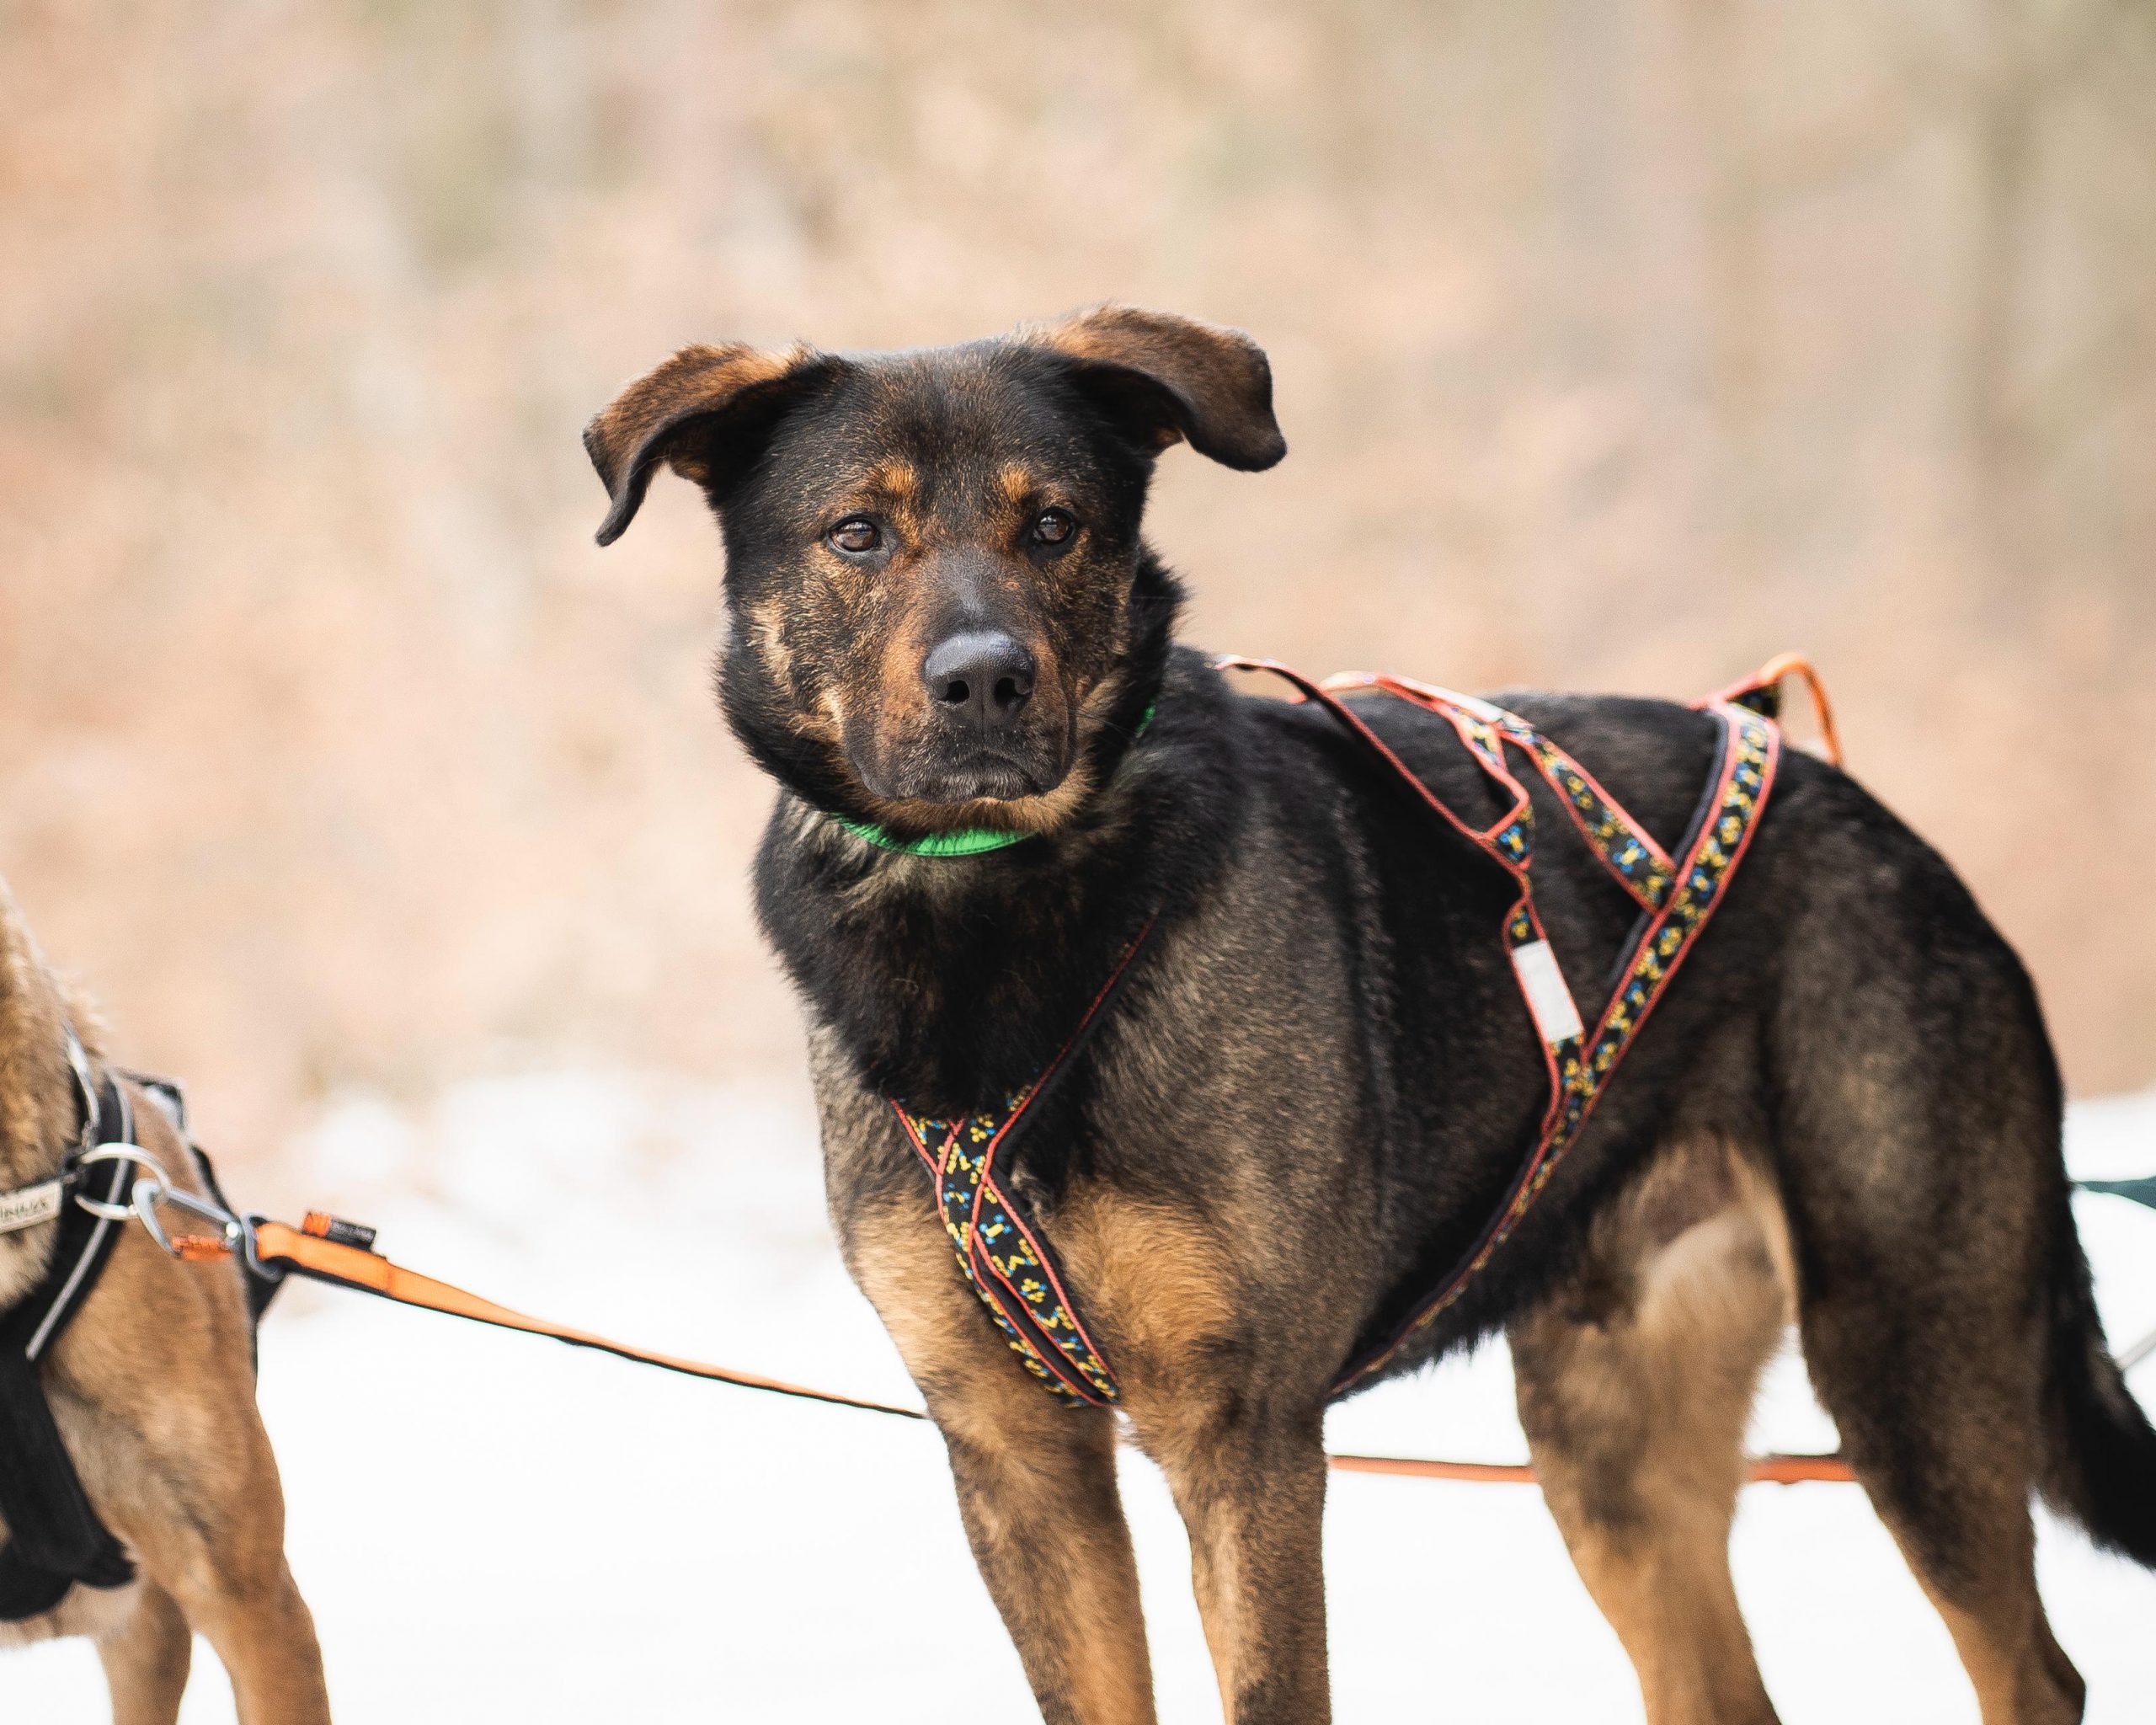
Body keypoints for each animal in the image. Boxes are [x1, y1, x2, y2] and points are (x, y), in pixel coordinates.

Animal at [586, 305, 2156, 1724]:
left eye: (1056, 527)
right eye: (858, 533)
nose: (985, 680)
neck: (1007, 905)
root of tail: (1880, 820)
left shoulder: (1243, 1439)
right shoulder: (1017, 1454)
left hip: (1907, 1357)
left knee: (2036, 1671)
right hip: (1611, 1441)